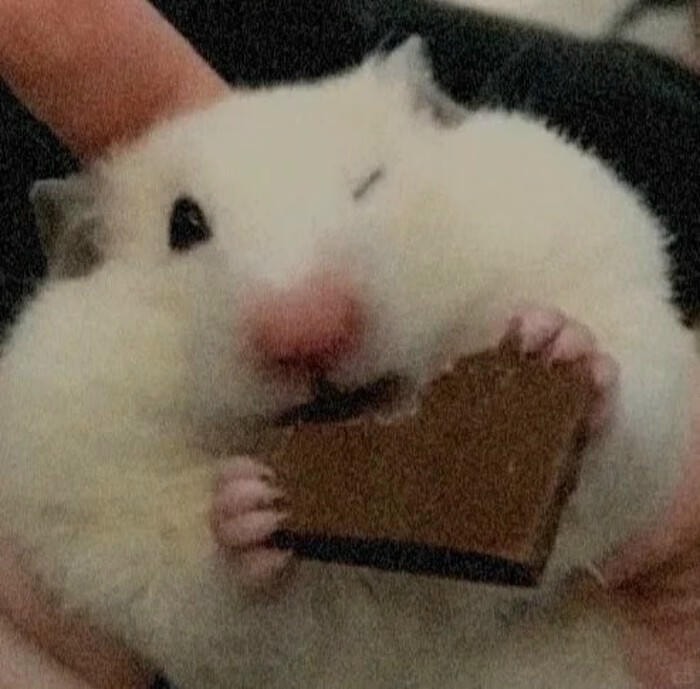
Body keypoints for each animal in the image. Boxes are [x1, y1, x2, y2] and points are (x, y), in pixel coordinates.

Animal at [0, 37, 695, 689]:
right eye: (185, 225)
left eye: (370, 181)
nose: (306, 329)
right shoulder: (99, 533)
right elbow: (213, 597)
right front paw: (247, 505)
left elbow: (619, 455)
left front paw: (556, 339)